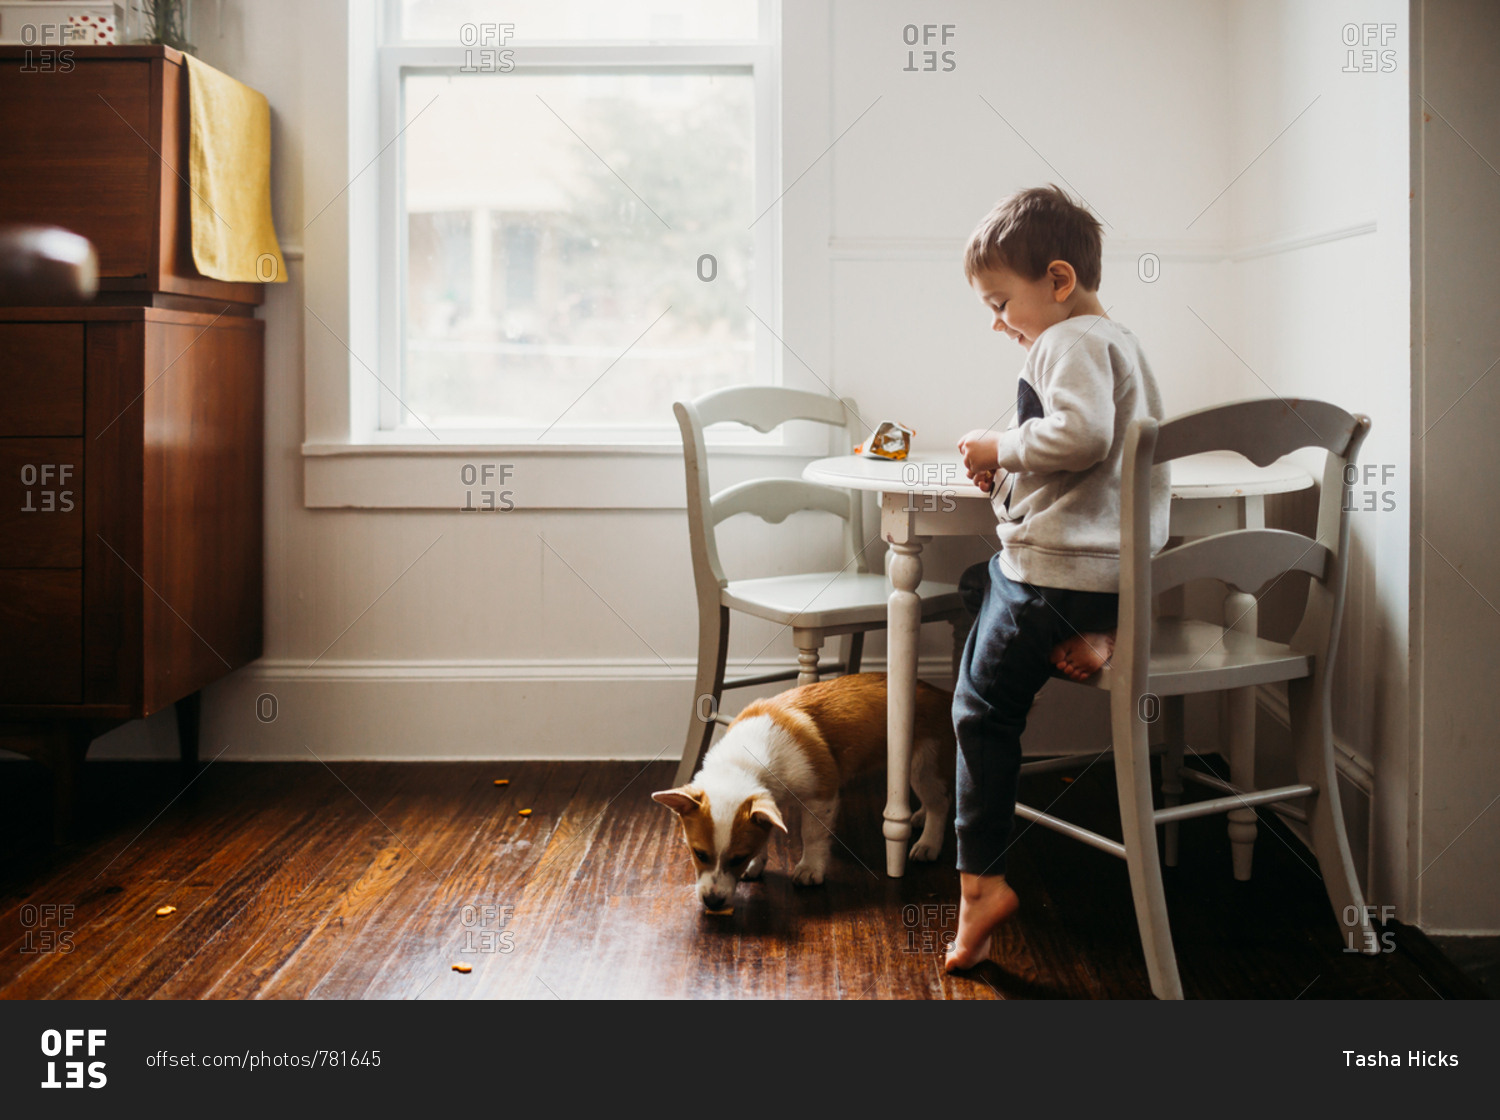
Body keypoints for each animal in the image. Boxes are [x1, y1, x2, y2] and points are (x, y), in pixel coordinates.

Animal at [651, 674, 954, 911]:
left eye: (737, 858)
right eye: (699, 854)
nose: (713, 903)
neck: (742, 764)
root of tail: (943, 694)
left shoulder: (822, 796)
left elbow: (812, 835)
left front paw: (809, 869)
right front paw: (757, 864)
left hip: (921, 764)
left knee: (941, 803)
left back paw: (929, 843)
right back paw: (919, 816)